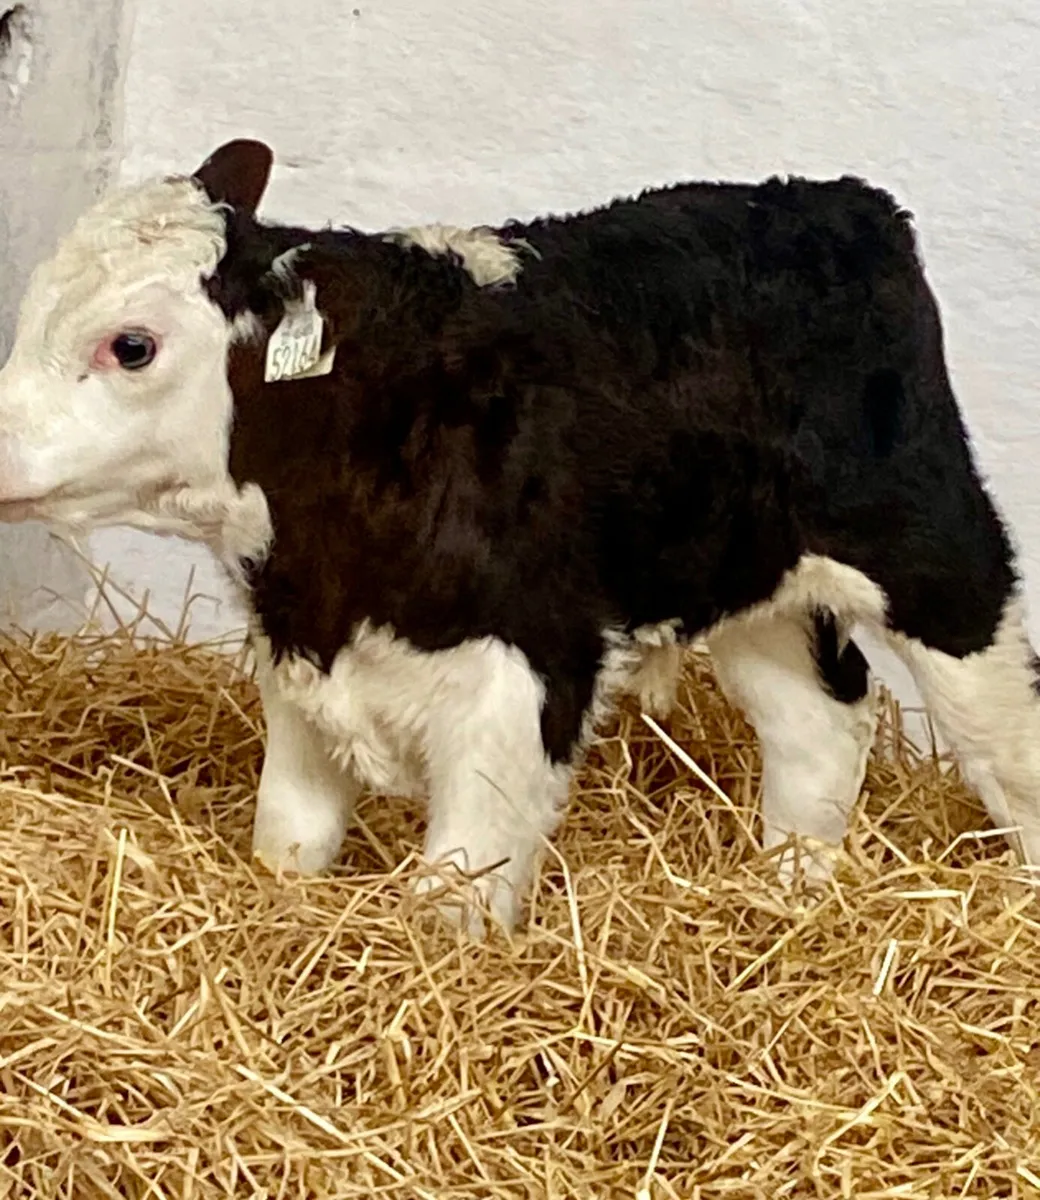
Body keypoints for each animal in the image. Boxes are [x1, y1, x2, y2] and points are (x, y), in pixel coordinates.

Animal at [0, 137, 1035, 936]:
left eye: (131, 345)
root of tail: (838, 201)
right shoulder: (302, 674)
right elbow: (287, 840)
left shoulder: (527, 676)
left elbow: (451, 898)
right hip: (750, 577)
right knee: (821, 721)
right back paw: (786, 891)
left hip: (938, 556)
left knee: (1004, 736)